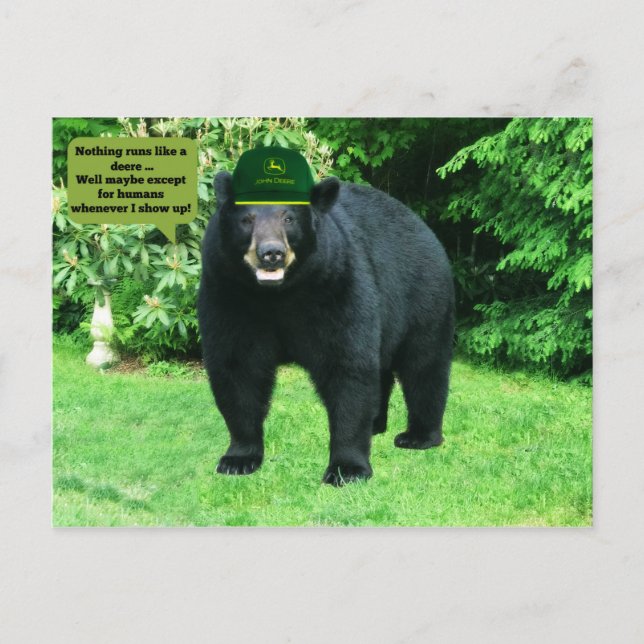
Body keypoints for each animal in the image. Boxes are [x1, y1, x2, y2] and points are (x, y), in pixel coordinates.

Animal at [198, 172, 454, 486]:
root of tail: (422, 225)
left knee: (424, 364)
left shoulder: (336, 285)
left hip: (423, 296)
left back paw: (418, 436)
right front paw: (238, 458)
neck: (277, 295)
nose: (271, 253)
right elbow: (237, 368)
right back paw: (375, 424)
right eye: (247, 218)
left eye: (289, 218)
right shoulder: (228, 294)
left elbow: (346, 367)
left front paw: (347, 468)